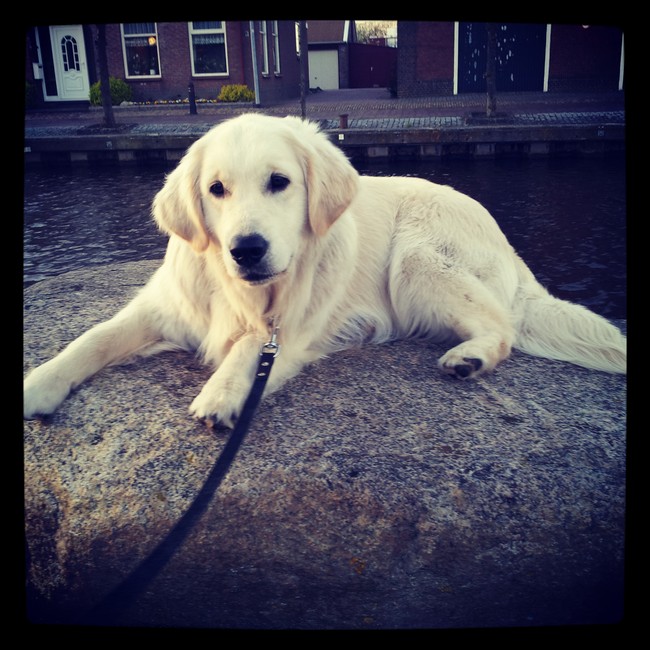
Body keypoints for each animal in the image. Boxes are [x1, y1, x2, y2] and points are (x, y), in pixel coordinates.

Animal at [23, 114, 626, 426]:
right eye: (216, 189)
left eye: (279, 182)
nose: (246, 249)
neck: (247, 294)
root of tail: (508, 244)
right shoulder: (164, 306)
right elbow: (94, 338)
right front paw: (40, 385)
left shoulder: (287, 334)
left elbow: (250, 345)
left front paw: (222, 394)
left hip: (416, 258)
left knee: (502, 327)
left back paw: (469, 358)